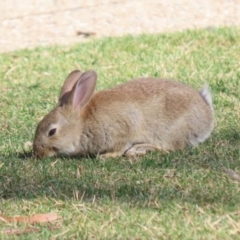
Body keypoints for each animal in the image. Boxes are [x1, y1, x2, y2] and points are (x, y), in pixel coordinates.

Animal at [33, 69, 214, 159]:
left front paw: (106, 156)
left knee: (166, 148)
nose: (38, 153)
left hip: (169, 131)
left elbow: (120, 147)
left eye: (52, 132)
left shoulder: (122, 130)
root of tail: (207, 115)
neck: (82, 125)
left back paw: (138, 150)